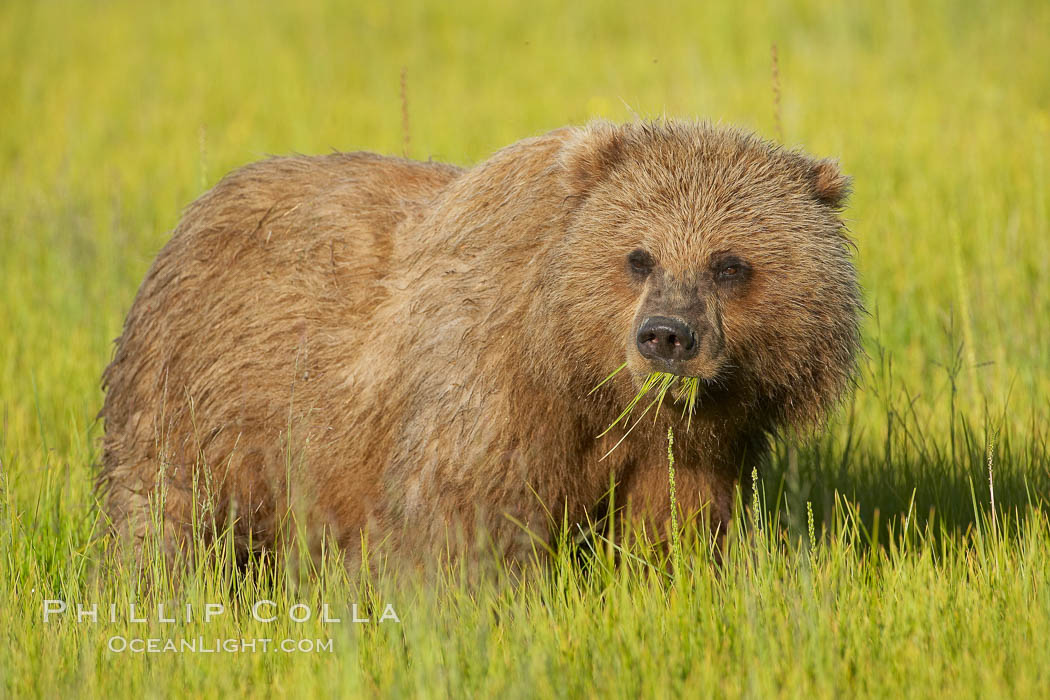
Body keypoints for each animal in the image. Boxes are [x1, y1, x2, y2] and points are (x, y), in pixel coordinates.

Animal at [98, 121, 860, 575]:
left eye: (728, 263)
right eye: (638, 256)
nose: (666, 335)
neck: (579, 367)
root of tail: (194, 210)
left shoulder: (690, 446)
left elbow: (673, 526)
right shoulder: (490, 383)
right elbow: (460, 516)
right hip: (205, 392)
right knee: (165, 509)